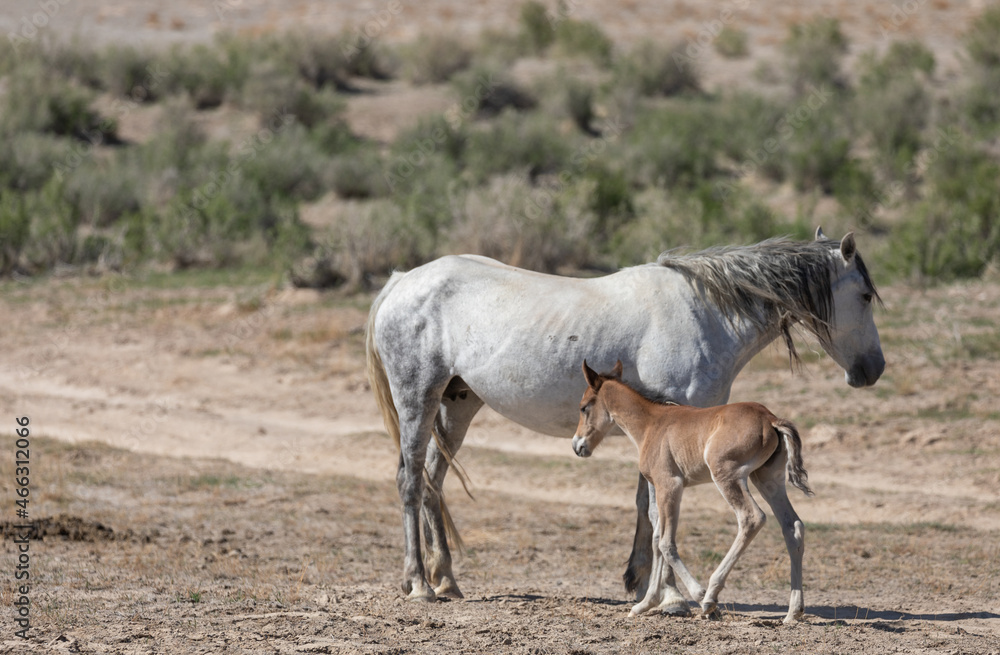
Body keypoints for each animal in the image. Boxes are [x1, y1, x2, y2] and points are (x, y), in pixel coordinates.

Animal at [572, 362, 812, 624]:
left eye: (584, 407)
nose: (578, 445)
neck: (651, 424)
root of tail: (770, 418)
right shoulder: (664, 488)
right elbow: (657, 539)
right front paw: (645, 604)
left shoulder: (669, 485)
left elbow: (666, 543)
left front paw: (698, 596)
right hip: (767, 479)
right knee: (793, 527)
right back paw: (793, 612)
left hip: (726, 475)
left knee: (752, 518)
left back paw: (710, 596)